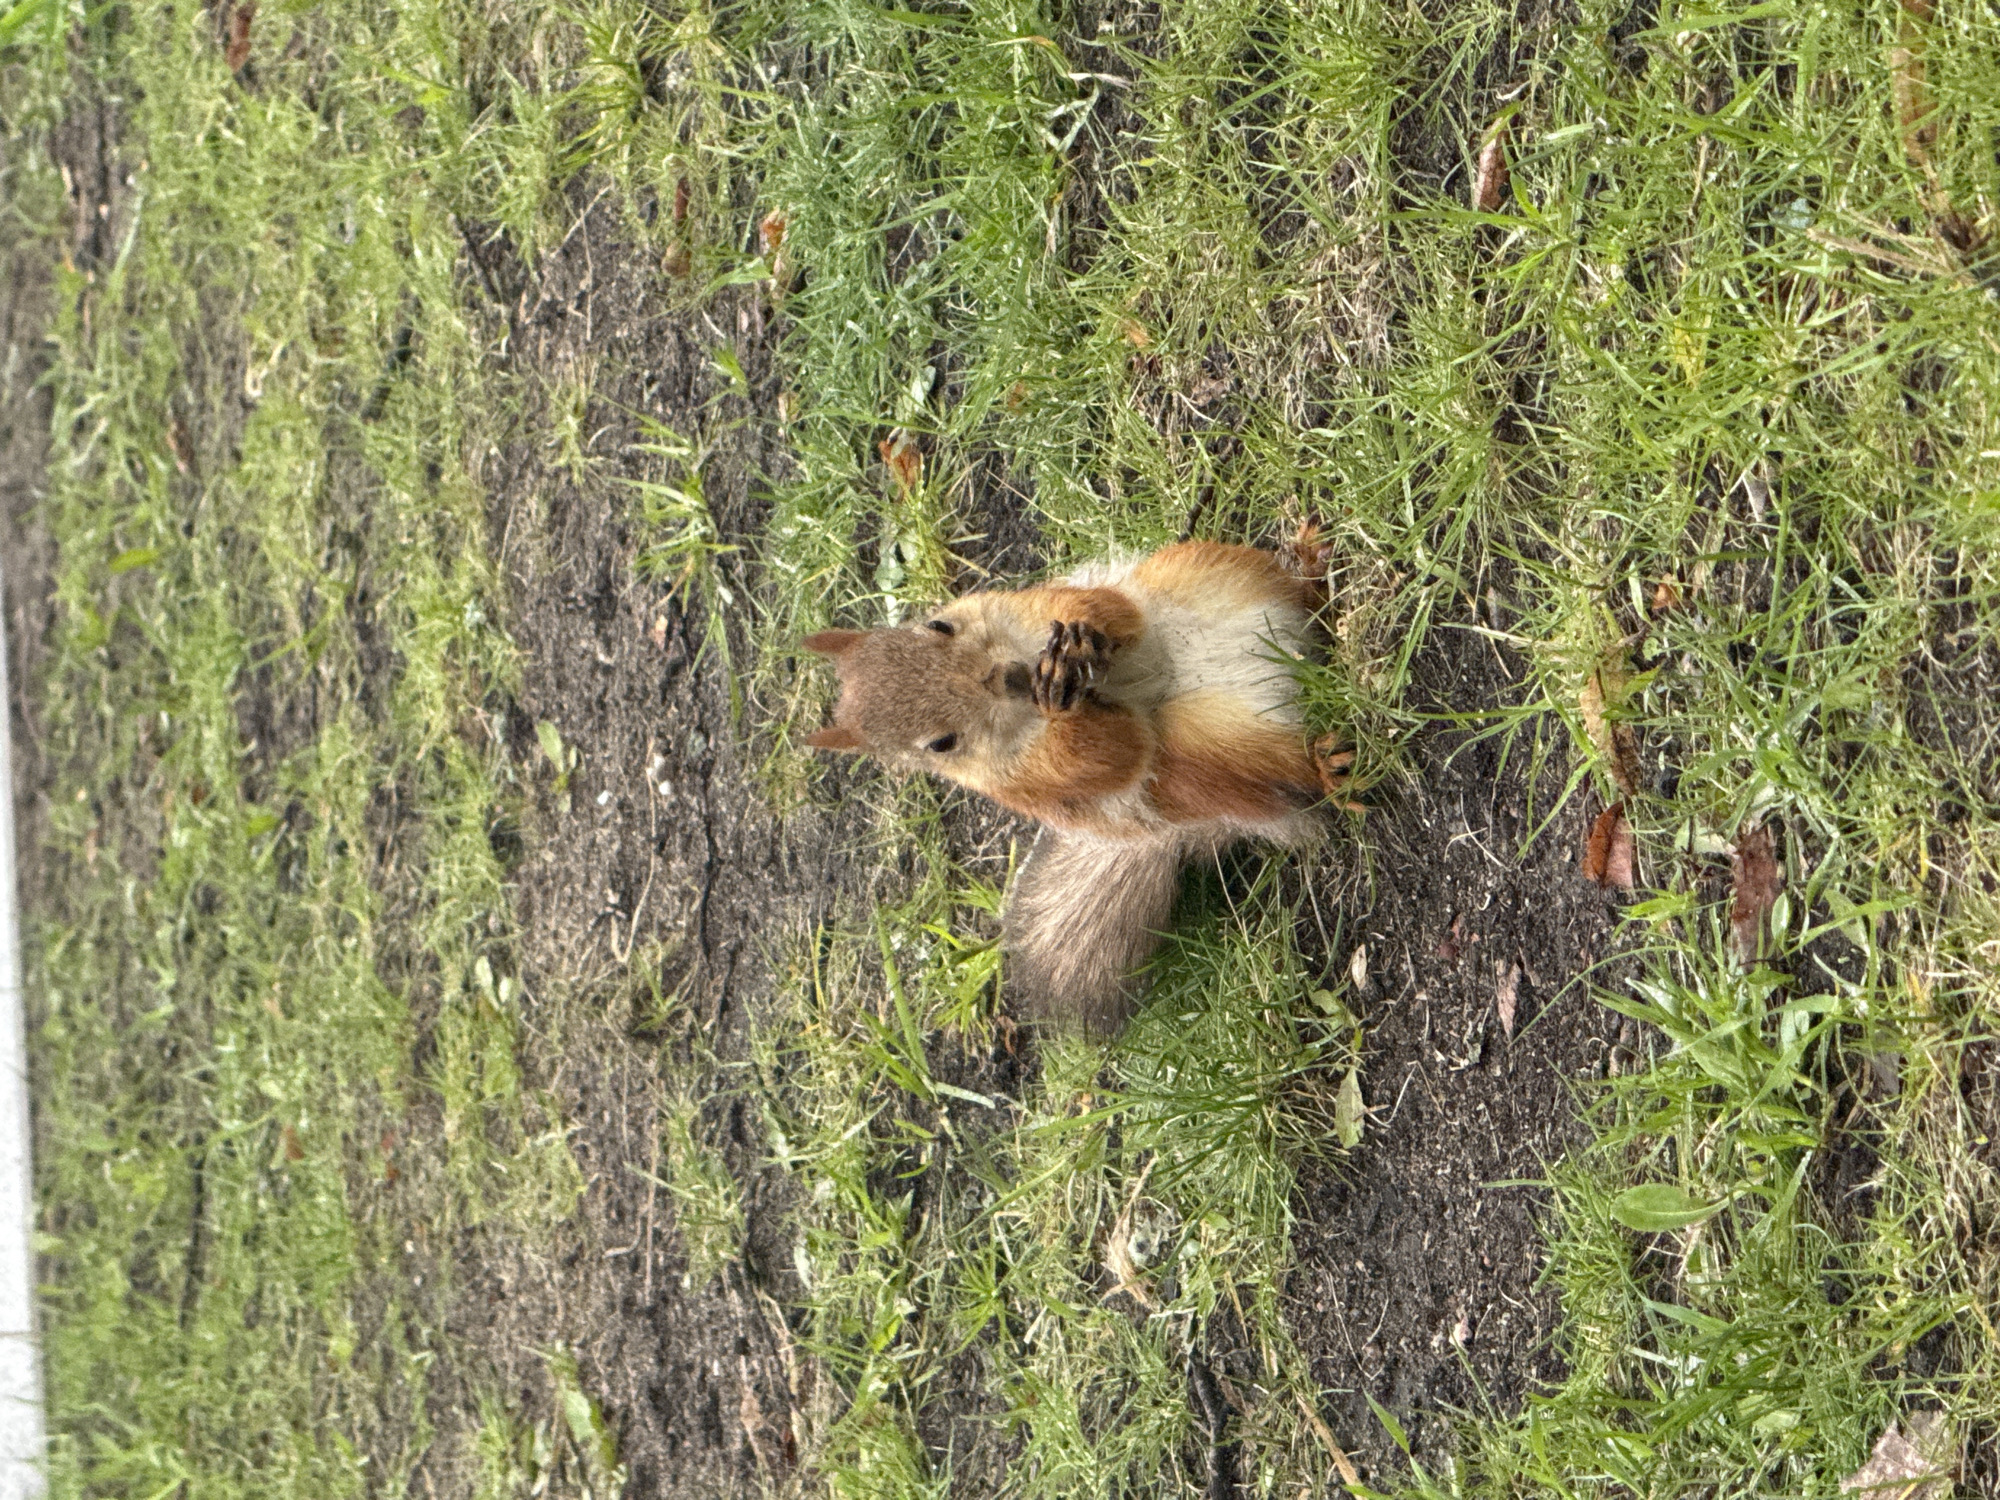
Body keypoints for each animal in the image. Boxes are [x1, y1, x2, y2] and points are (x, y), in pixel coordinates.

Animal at [802, 533, 1353, 1034]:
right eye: (940, 743)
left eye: (939, 624)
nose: (1006, 677)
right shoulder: (1033, 783)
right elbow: (1112, 753)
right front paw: (1066, 705)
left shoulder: (1024, 603)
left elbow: (1109, 605)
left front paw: (1084, 639)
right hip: (1212, 753)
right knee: (1280, 767)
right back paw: (1324, 766)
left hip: (1212, 573)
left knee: (1287, 597)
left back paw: (1309, 575)